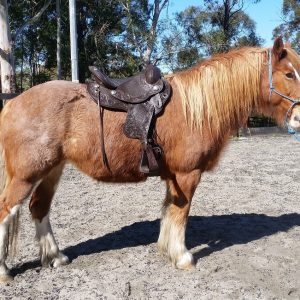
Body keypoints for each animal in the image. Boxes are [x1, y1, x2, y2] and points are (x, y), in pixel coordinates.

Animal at [0, 37, 300, 282]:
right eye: (289, 74)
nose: (298, 117)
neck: (196, 109)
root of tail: (13, 102)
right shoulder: (187, 174)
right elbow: (181, 213)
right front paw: (182, 257)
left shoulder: (173, 177)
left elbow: (169, 211)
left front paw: (166, 249)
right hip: (26, 175)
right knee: (6, 211)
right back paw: (5, 272)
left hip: (52, 170)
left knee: (39, 208)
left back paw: (55, 257)